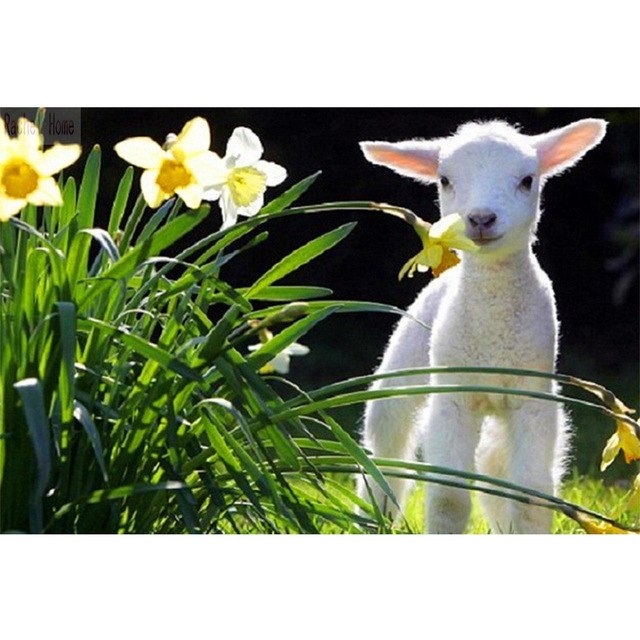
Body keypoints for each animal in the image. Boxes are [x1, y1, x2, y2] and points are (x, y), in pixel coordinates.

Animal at [357, 118, 607, 534]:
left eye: (527, 180)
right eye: (444, 180)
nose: (480, 219)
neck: (494, 333)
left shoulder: (533, 399)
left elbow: (530, 500)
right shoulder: (452, 397)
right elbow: (448, 499)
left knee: (493, 463)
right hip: (403, 368)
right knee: (385, 448)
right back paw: (371, 519)